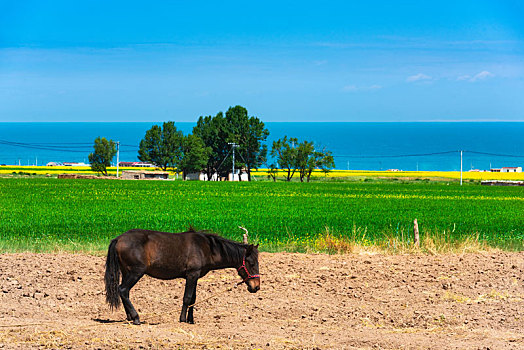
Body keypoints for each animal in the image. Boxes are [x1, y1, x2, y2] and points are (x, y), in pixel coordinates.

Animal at [105, 228, 260, 324]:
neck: (206, 248)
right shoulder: (192, 275)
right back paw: (136, 318)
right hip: (136, 272)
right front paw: (183, 319)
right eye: (252, 263)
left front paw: (191, 320)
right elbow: (187, 297)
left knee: (124, 292)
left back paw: (130, 317)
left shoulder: (196, 276)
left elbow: (193, 298)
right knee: (123, 290)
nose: (256, 287)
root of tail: (118, 239)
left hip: (127, 272)